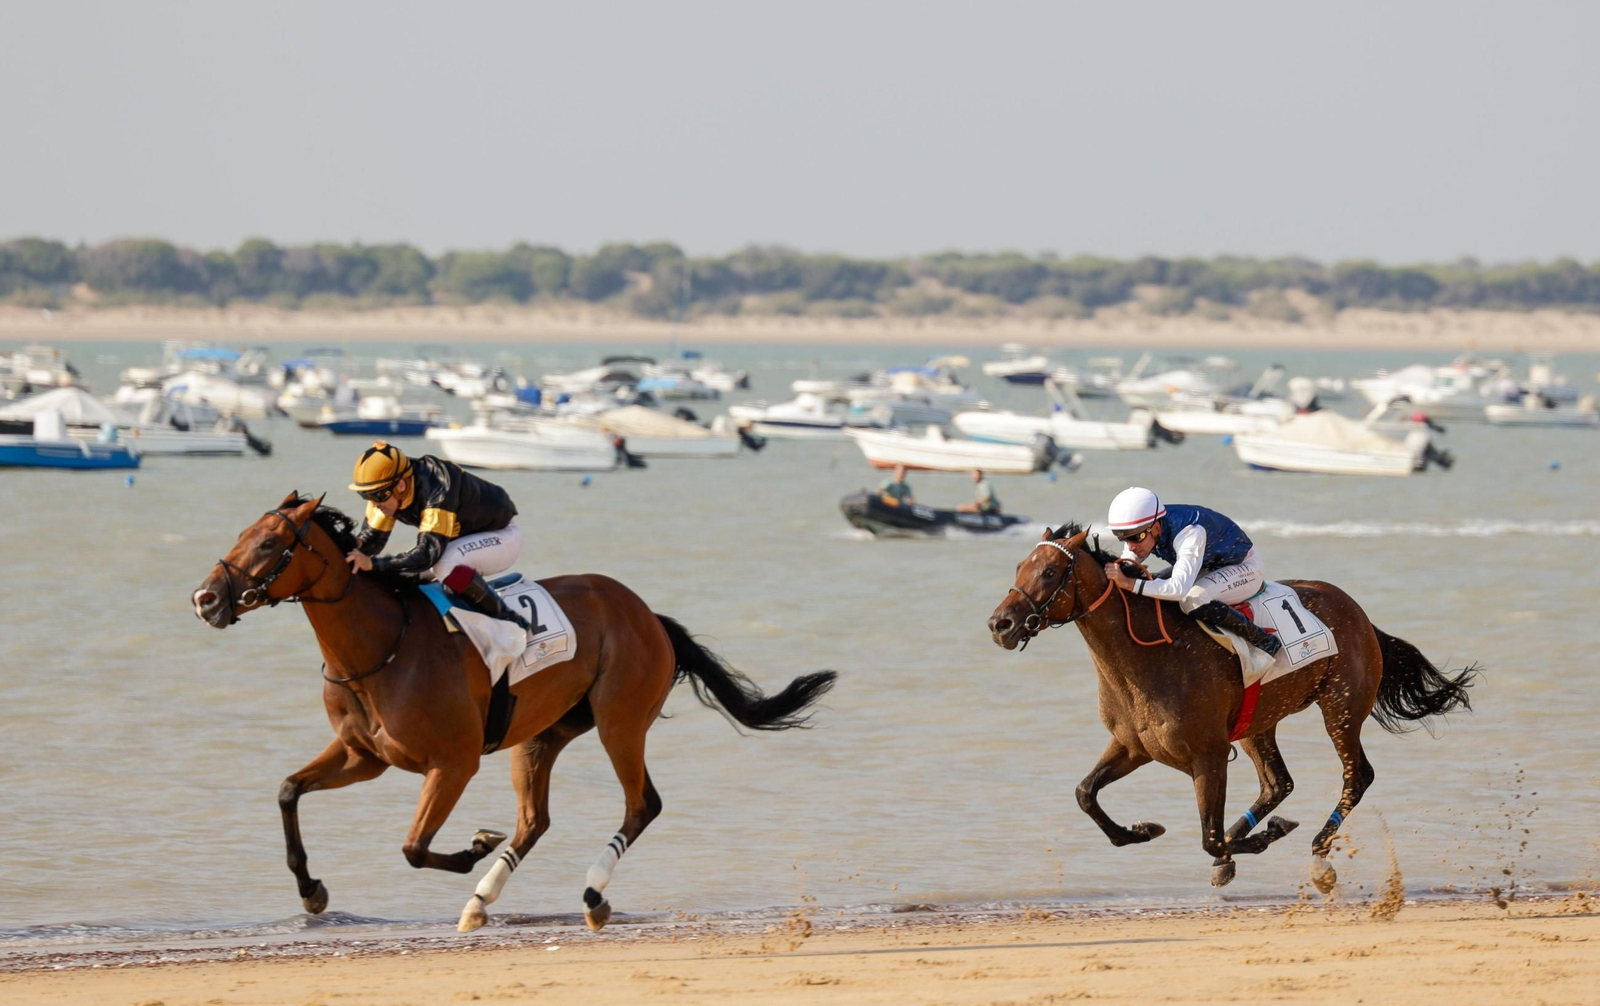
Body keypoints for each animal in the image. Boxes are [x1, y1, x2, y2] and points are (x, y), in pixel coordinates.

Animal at [192, 493, 836, 931]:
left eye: (269, 544)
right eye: (243, 533)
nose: (205, 599)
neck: (382, 647)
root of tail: (647, 613)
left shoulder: (453, 764)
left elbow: (414, 848)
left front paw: (474, 844)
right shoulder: (363, 756)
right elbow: (287, 791)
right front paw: (312, 891)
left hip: (620, 721)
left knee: (642, 804)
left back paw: (593, 896)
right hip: (540, 735)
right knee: (535, 821)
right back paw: (480, 902)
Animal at [985, 523, 1476, 890]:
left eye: (1050, 571)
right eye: (1020, 566)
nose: (1000, 624)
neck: (1148, 654)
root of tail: (1359, 613)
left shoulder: (1209, 755)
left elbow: (1209, 837)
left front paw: (1262, 837)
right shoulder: (1133, 746)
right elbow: (1086, 793)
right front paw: (1142, 830)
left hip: (1341, 707)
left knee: (1357, 776)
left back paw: (1319, 853)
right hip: (1260, 721)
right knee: (1278, 784)